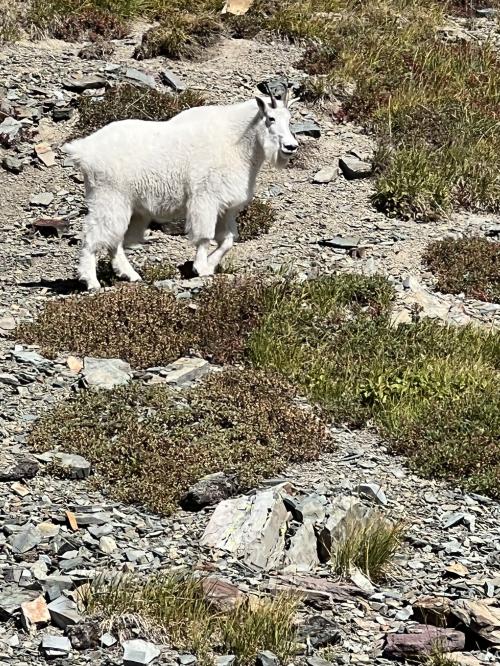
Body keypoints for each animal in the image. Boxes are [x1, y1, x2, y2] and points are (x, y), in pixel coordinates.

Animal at [62, 89, 296, 288]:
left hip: (128, 207)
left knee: (115, 240)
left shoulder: (226, 207)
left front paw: (210, 265)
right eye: (270, 118)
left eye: (289, 119)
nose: (291, 147)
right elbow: (205, 236)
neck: (236, 142)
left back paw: (129, 274)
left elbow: (228, 240)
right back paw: (91, 281)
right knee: (93, 236)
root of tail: (84, 150)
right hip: (109, 197)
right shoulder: (205, 199)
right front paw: (200, 268)